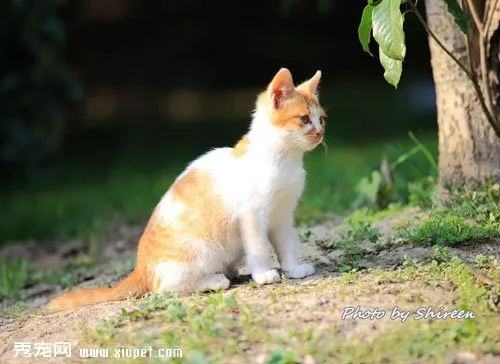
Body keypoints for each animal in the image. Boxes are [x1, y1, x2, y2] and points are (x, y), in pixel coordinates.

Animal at [48, 67, 326, 310]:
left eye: (321, 119)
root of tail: (141, 269)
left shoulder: (282, 215)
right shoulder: (252, 217)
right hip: (198, 251)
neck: (284, 159)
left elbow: (286, 244)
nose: (320, 132)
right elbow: (257, 248)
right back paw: (214, 280)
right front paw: (263, 274)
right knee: (165, 288)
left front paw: (294, 269)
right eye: (304, 119)